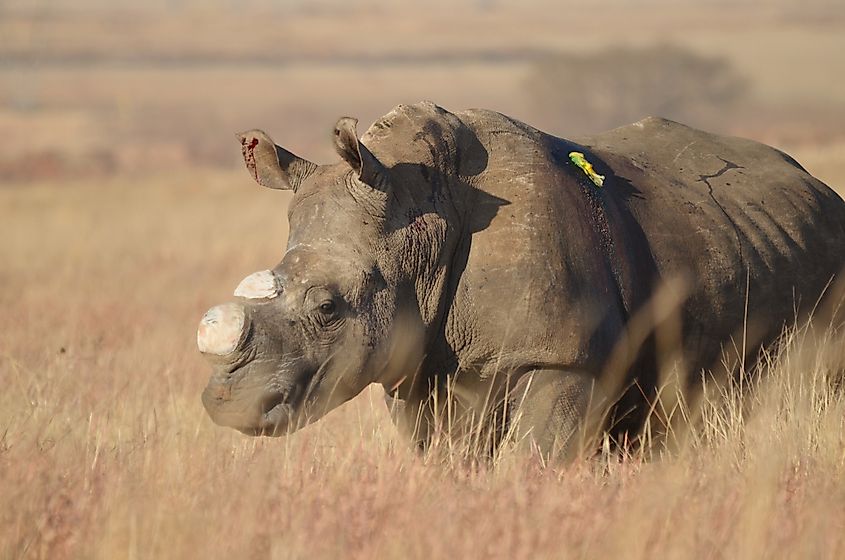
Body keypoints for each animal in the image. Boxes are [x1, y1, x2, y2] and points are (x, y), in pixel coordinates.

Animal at [198, 101, 845, 459]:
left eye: (328, 308)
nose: (228, 404)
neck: (422, 224)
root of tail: (819, 188)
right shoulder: (417, 364)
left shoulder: (565, 358)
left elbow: (535, 459)